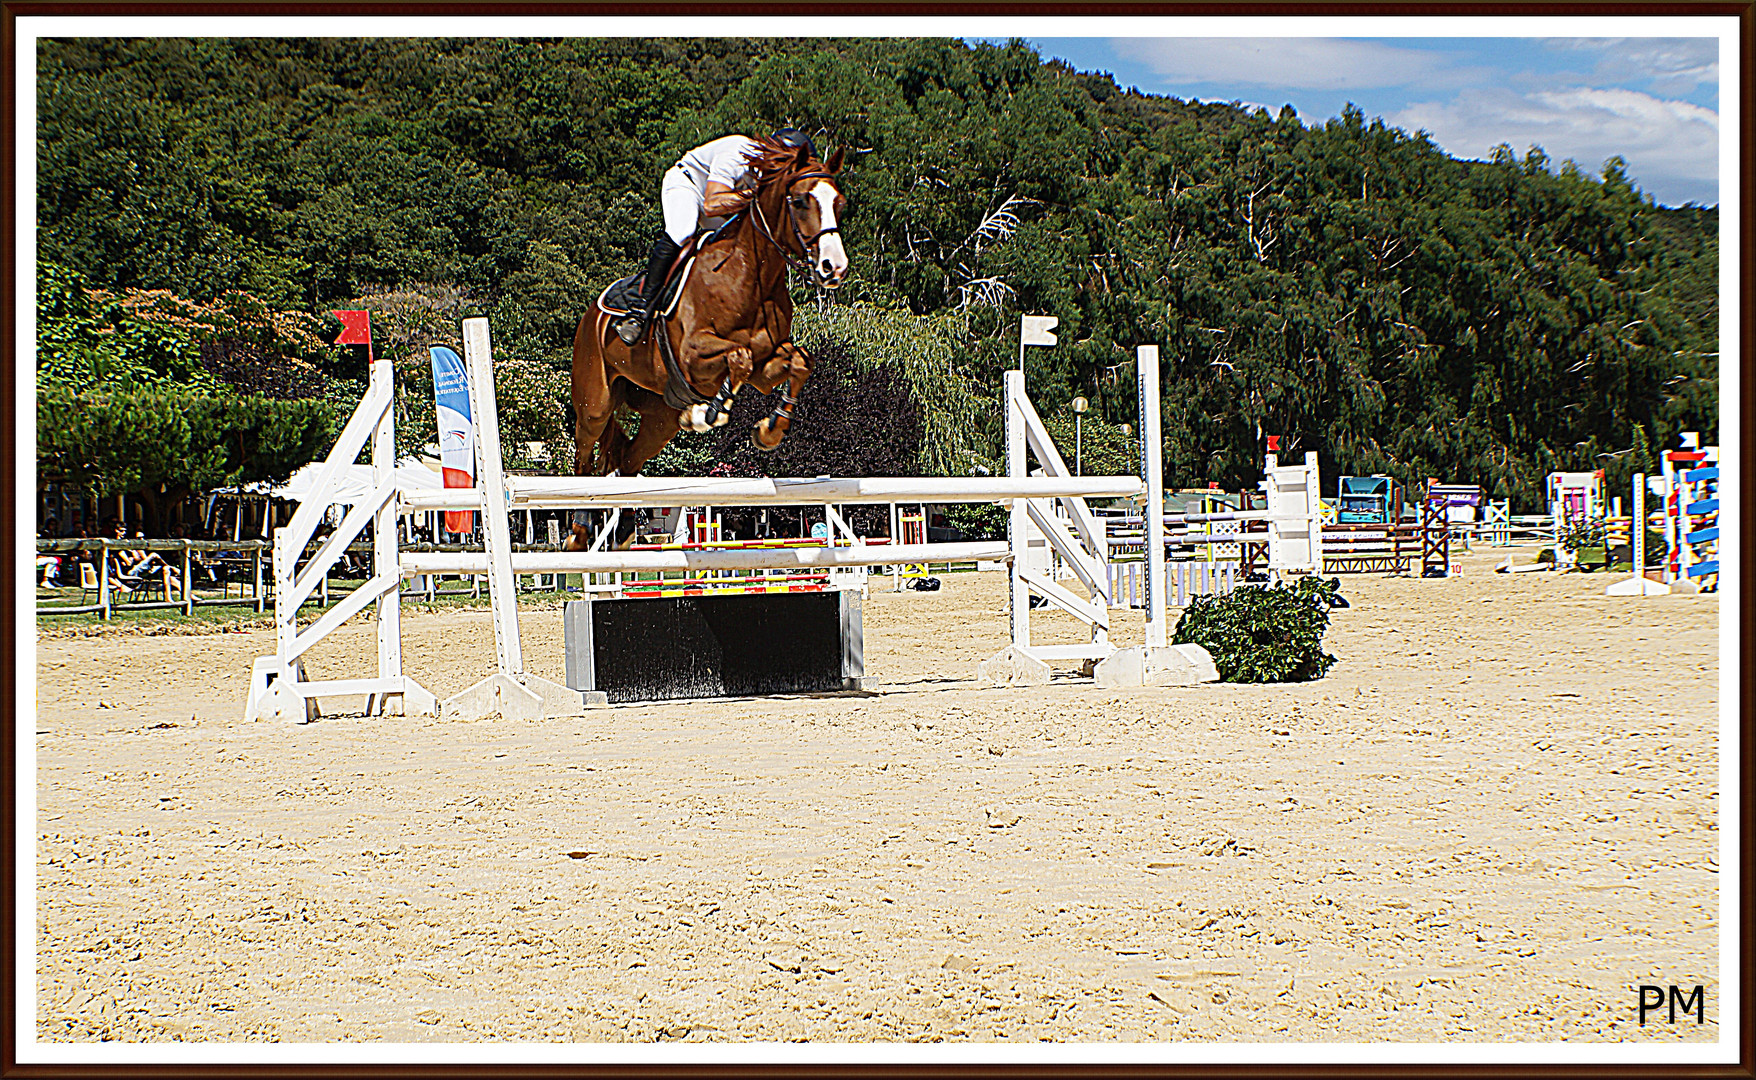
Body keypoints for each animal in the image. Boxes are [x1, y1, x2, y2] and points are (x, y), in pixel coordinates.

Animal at [572, 136, 846, 477]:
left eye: (839, 203)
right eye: (800, 201)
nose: (834, 268)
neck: (751, 277)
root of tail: (590, 316)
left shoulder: (764, 369)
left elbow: (799, 361)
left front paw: (769, 431)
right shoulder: (692, 354)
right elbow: (739, 356)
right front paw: (706, 414)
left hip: (659, 418)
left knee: (629, 459)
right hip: (594, 404)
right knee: (583, 456)